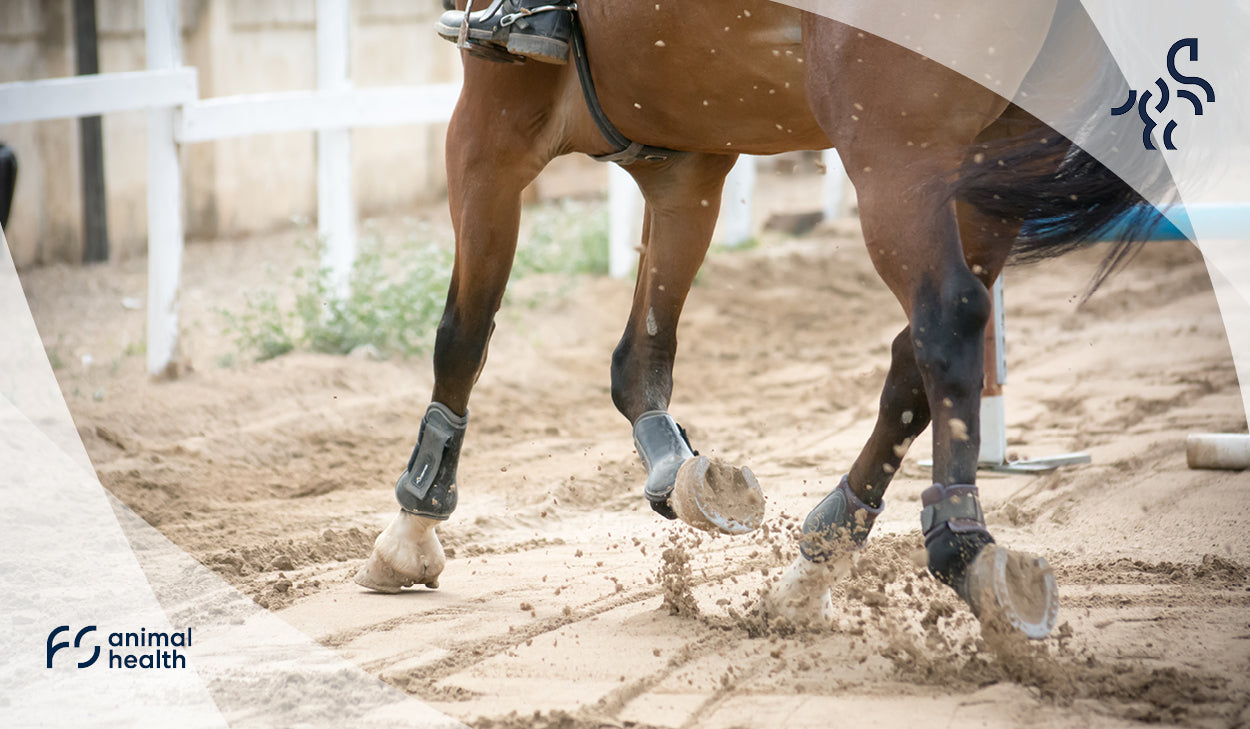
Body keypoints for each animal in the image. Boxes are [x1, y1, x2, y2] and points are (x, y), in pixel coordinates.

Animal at [352, 0, 1150, 640]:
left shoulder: (490, 128)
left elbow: (462, 335)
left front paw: (410, 529)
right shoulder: (688, 163)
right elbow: (640, 357)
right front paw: (681, 473)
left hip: (897, 153)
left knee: (946, 319)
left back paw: (962, 547)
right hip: (991, 170)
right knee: (917, 355)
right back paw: (818, 561)